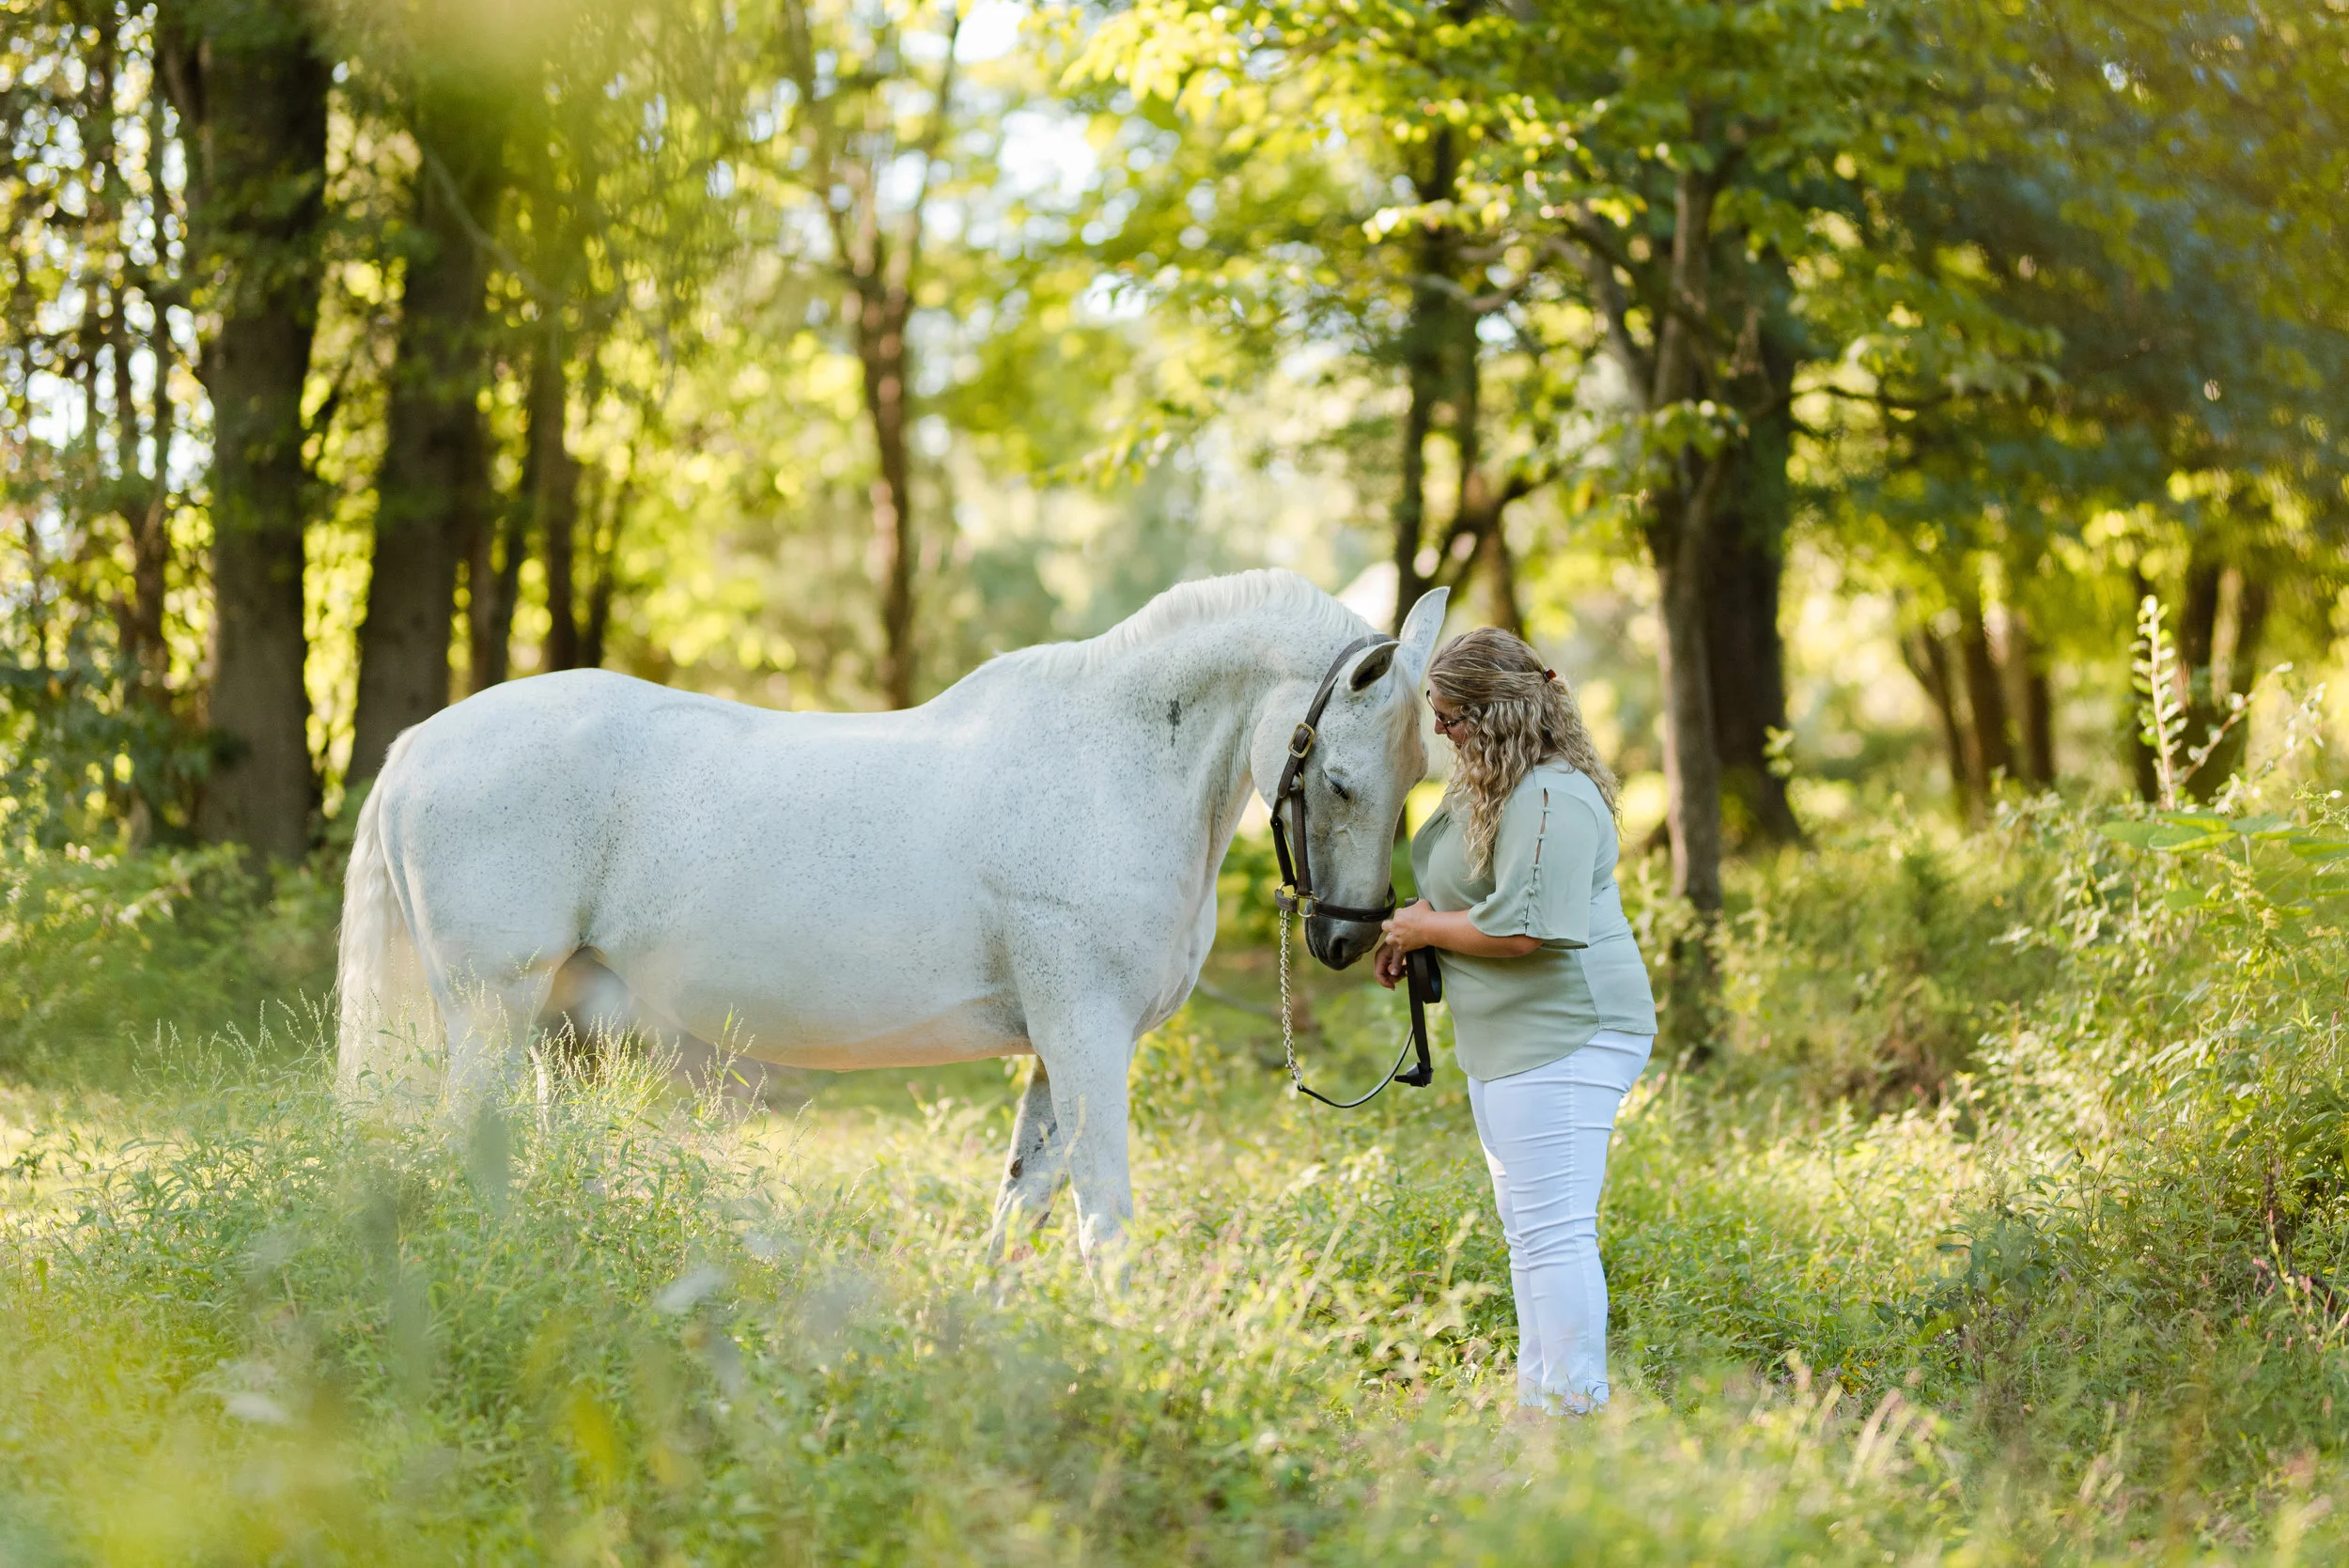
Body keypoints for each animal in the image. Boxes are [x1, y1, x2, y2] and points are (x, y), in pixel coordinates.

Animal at [336, 570, 1449, 1263]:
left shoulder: (1057, 1047)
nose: (1348, 938)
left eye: (1416, 778)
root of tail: (420, 744)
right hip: (492, 1007)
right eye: (1340, 781)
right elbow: (1103, 1213)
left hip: (556, 1031)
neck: (1112, 765)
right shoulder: (1087, 1034)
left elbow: (1020, 1204)